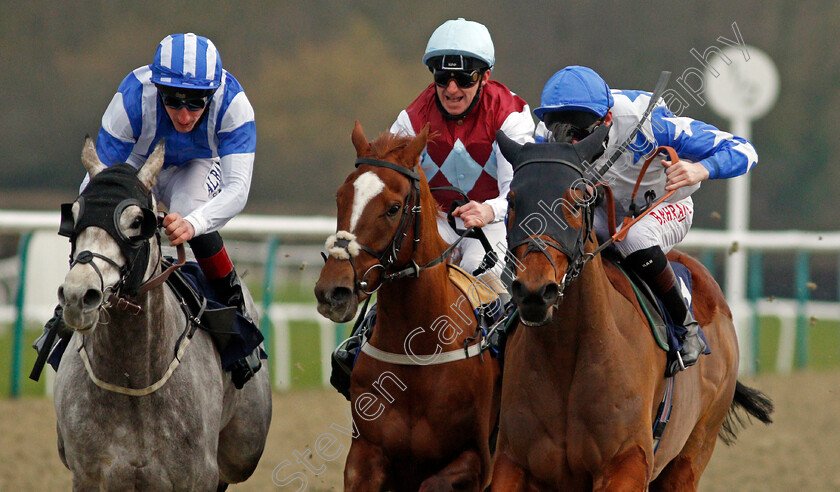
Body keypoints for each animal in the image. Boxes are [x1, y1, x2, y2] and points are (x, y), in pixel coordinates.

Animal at [54, 139, 270, 492]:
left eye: (136, 223)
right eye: (74, 217)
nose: (77, 296)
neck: (134, 378)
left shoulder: (198, 475)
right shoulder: (89, 474)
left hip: (242, 449)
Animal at [314, 122, 498, 488]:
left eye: (393, 208)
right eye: (340, 197)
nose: (333, 291)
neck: (418, 350)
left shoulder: (475, 459)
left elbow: (436, 481)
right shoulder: (364, 457)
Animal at [492, 129, 776, 490]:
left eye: (577, 199)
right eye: (512, 201)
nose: (535, 291)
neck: (567, 357)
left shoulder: (628, 461)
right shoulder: (512, 462)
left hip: (690, 456)